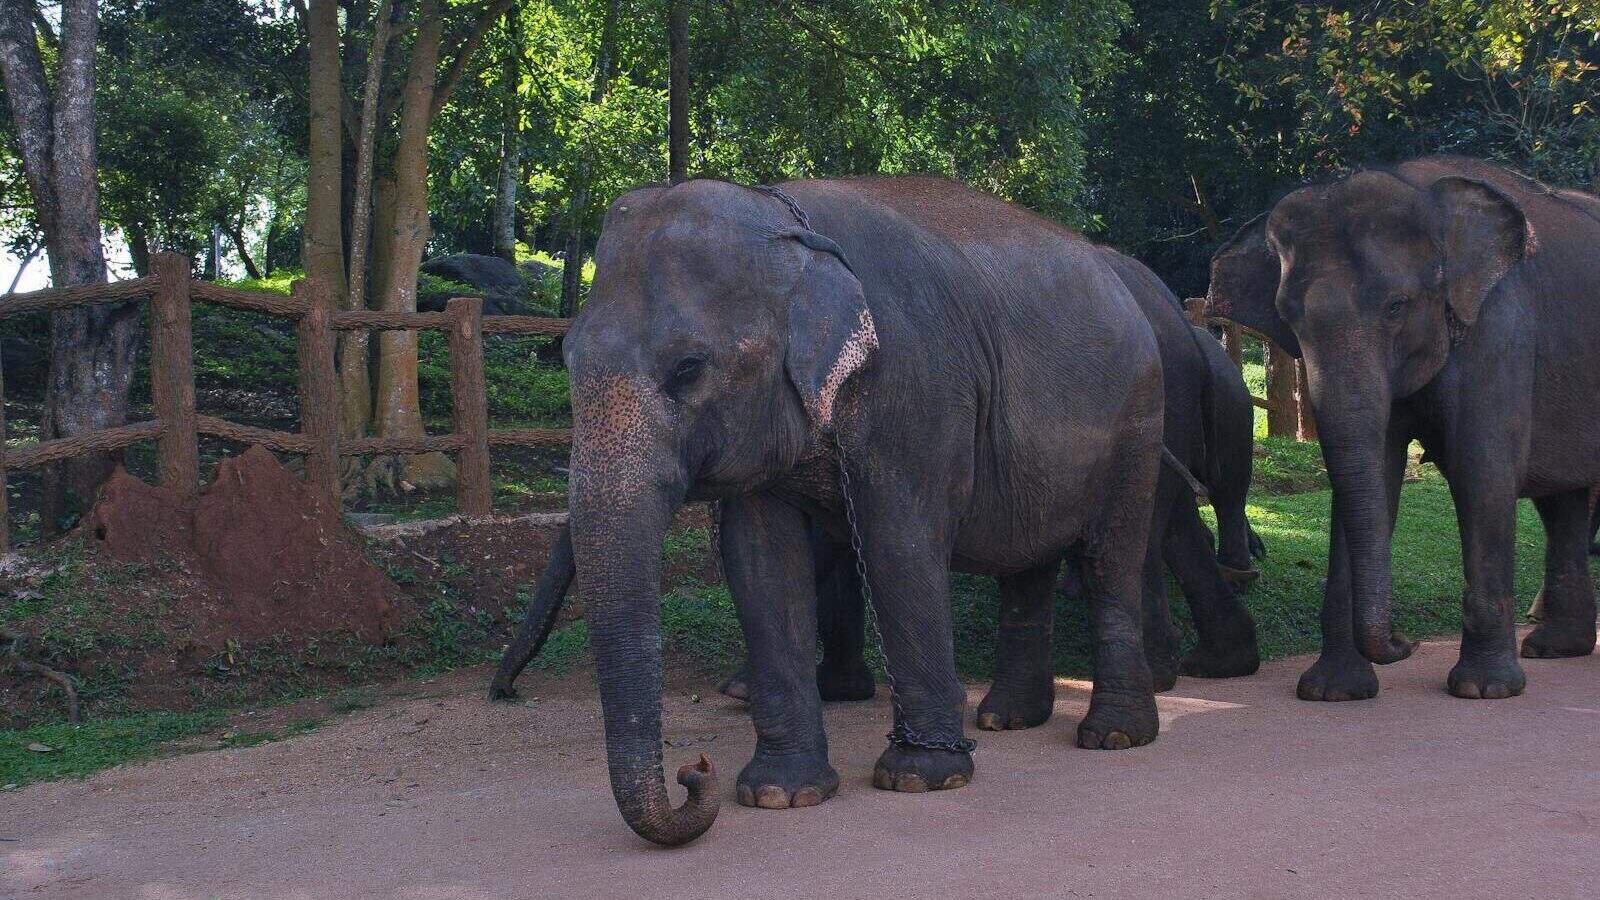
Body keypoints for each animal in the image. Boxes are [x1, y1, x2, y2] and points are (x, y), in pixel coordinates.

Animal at [519, 176, 1168, 846]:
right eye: (567, 360)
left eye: (688, 369)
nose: (692, 772)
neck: (786, 220)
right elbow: (759, 563)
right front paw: (779, 794)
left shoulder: (916, 386)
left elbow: (896, 544)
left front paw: (921, 778)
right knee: (1026, 562)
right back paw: (1007, 720)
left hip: (1138, 421)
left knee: (1110, 560)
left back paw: (1112, 735)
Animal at [1208, 155, 1600, 702]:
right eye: (1290, 317)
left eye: (1397, 307)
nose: (1404, 642)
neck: (1419, 189)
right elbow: (1375, 472)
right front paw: (1334, 693)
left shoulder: (1499, 329)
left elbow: (1482, 476)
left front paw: (1483, 691)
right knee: (1562, 501)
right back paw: (1555, 648)